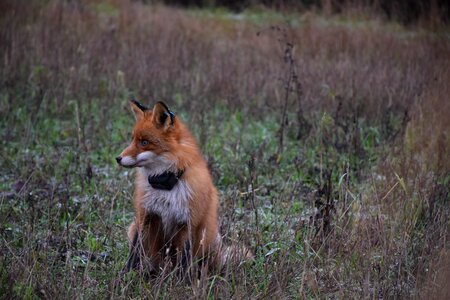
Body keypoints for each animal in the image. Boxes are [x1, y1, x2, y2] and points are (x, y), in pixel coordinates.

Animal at [116, 99, 229, 276]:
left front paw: (183, 282)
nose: (118, 158)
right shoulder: (145, 217)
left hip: (208, 238)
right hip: (134, 228)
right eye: (133, 139)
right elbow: (134, 252)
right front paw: (126, 275)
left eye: (144, 142)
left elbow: (184, 260)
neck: (165, 185)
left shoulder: (188, 222)